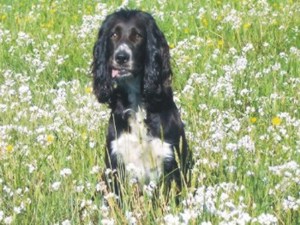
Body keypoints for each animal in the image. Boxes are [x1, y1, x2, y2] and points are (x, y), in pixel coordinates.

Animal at [92, 8, 192, 195]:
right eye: (113, 35)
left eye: (137, 36)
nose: (121, 57)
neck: (137, 103)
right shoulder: (115, 161)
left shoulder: (169, 160)